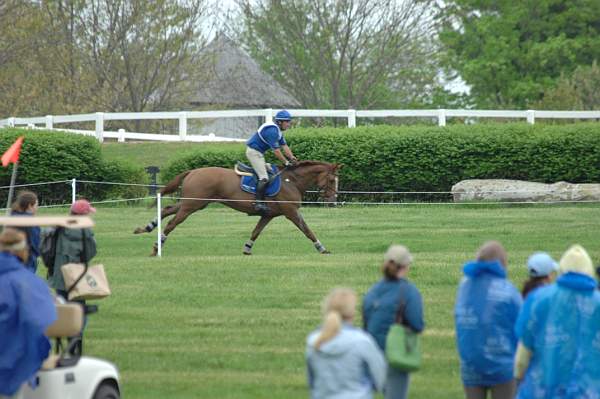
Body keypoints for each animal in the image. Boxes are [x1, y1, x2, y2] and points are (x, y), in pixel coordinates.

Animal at [137, 160, 342, 256]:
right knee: (172, 222)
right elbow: (307, 230)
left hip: (195, 202)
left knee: (168, 209)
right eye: (332, 180)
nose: (333, 202)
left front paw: (247, 249)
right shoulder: (291, 212)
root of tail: (193, 171)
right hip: (192, 205)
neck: (291, 180)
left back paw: (146, 228)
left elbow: (256, 232)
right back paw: (157, 246)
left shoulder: (268, 215)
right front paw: (322, 248)